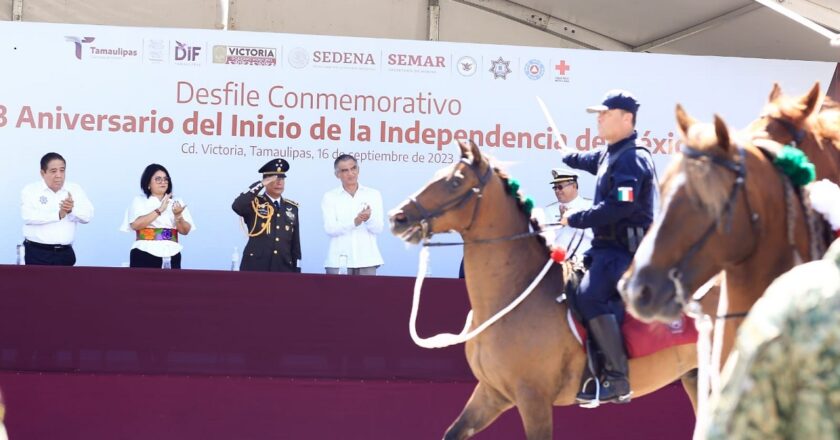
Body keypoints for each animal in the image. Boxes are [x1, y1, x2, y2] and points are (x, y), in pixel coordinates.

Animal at [388, 140, 696, 440]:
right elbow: (453, 433)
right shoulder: (491, 393)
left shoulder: (533, 399)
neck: (512, 293)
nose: (397, 218)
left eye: (455, 182)